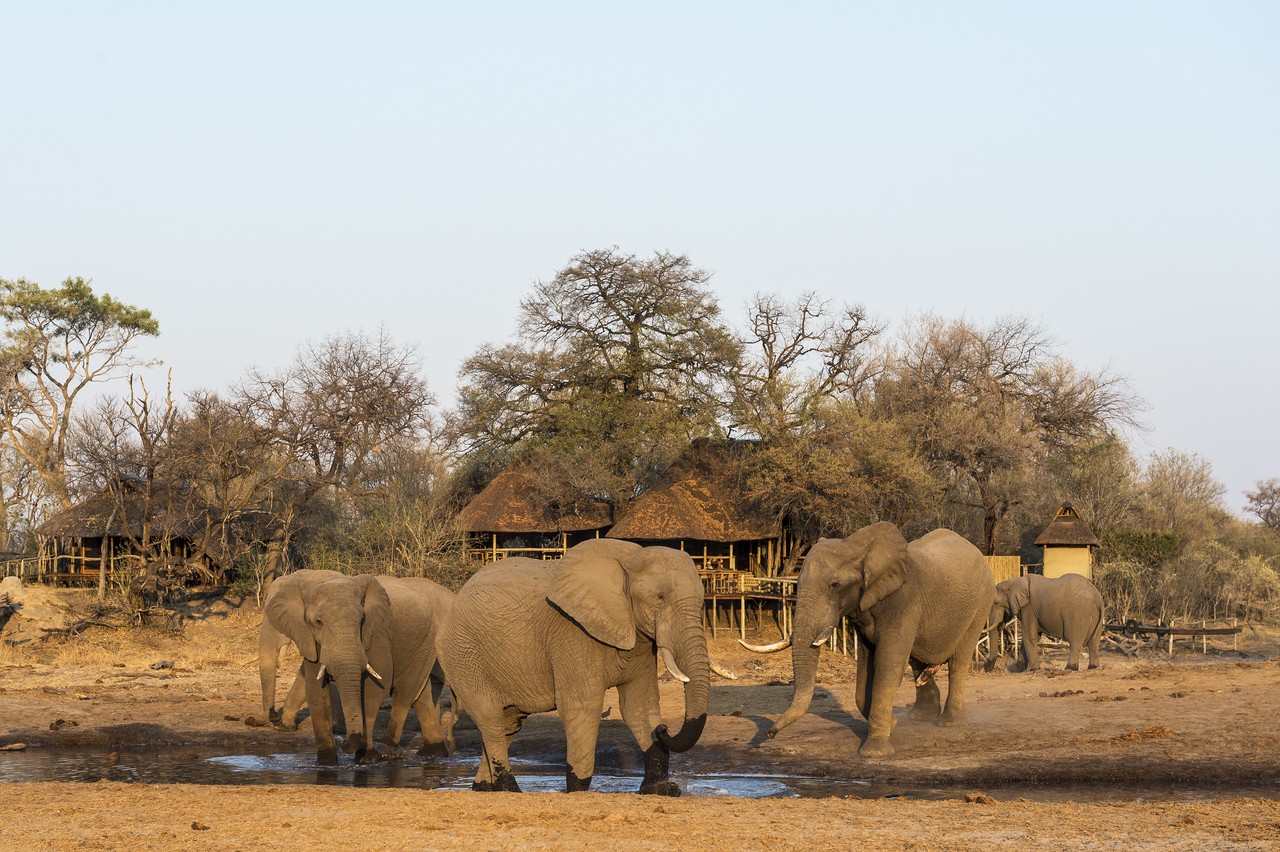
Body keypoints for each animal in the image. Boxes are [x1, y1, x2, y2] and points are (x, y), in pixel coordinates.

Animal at [440, 539, 711, 793]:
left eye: (702, 601)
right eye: (660, 598)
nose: (664, 729)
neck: (630, 558)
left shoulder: (638, 638)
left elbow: (638, 704)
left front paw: (663, 789)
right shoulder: (573, 632)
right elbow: (583, 706)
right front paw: (577, 789)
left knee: (509, 724)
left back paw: (484, 788)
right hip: (462, 655)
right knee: (492, 720)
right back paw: (510, 789)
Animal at [747, 521, 993, 752]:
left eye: (835, 585)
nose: (770, 733)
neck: (856, 547)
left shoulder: (903, 603)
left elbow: (888, 665)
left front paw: (874, 751)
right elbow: (867, 668)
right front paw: (892, 724)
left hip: (981, 604)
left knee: (958, 661)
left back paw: (949, 723)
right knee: (916, 660)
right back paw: (921, 717)